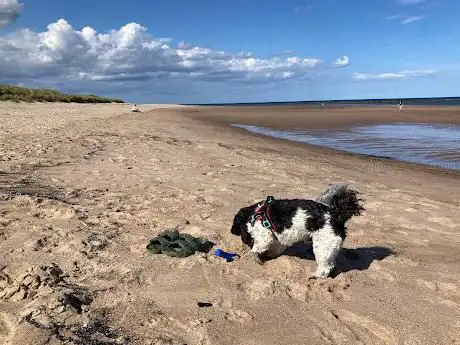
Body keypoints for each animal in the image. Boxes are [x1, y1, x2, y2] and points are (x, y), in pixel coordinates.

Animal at [232, 183, 364, 276]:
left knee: (325, 268)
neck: (255, 215)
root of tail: (337, 214)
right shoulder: (279, 237)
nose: (232, 231)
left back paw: (315, 276)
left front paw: (250, 256)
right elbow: (276, 248)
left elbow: (256, 248)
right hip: (329, 247)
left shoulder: (264, 236)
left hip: (323, 245)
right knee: (331, 264)